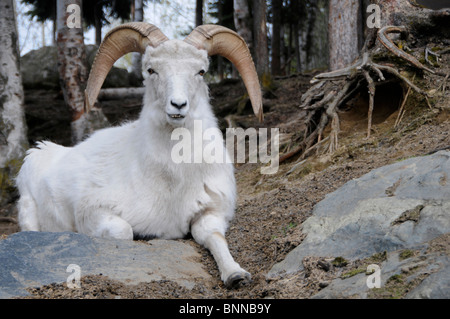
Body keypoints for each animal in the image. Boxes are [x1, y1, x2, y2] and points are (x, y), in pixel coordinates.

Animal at [15, 21, 264, 288]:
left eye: (201, 71)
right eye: (151, 70)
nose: (178, 106)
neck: (173, 181)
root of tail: (40, 152)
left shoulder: (211, 212)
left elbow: (214, 237)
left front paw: (236, 274)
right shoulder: (94, 211)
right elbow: (124, 232)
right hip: (28, 211)